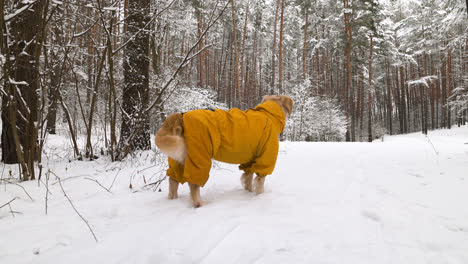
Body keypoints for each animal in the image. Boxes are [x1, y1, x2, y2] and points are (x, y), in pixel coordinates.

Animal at [154, 94, 292, 207]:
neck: (268, 114)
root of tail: (182, 115)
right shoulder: (265, 157)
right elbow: (260, 180)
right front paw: (260, 196)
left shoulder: (250, 160)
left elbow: (248, 178)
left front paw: (248, 193)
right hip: (199, 156)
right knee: (193, 184)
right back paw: (200, 203)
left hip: (178, 160)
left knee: (173, 180)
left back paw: (173, 199)